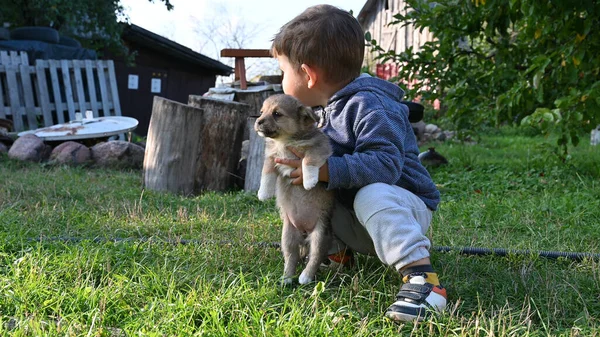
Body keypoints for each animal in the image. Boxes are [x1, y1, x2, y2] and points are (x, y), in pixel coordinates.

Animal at [255, 94, 336, 284]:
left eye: (277, 114)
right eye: (262, 112)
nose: (258, 121)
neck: (285, 141)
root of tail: (304, 231)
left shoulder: (319, 149)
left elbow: (308, 160)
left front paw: (310, 180)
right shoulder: (271, 157)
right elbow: (266, 172)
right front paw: (263, 193)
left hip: (319, 236)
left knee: (315, 257)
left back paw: (305, 277)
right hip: (288, 236)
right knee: (291, 257)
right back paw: (286, 278)